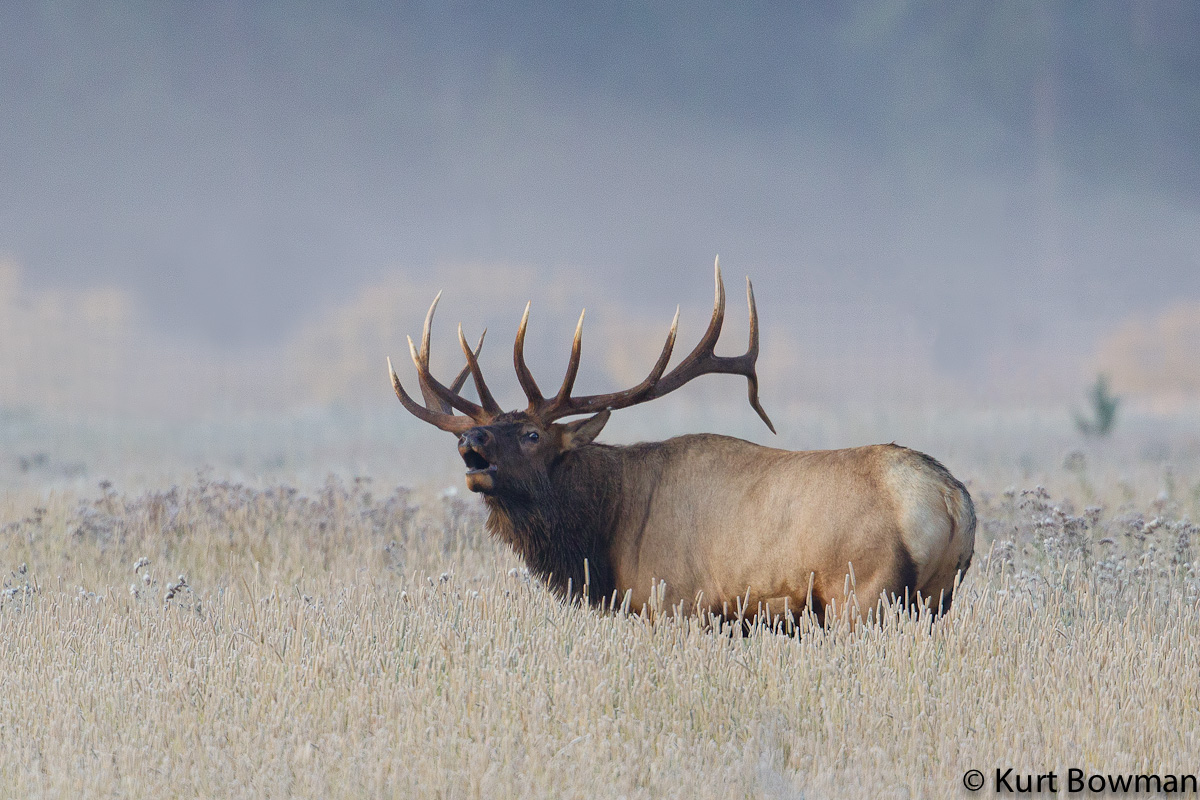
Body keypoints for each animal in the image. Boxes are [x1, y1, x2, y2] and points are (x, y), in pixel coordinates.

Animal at [387, 262, 976, 626]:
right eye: (480, 432)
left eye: (533, 434)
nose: (471, 440)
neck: (607, 536)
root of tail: (949, 501)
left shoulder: (674, 602)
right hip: (936, 599)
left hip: (864, 593)